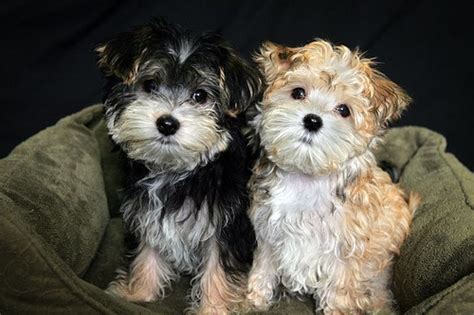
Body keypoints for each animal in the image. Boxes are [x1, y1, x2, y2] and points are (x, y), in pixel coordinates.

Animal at [96, 19, 262, 314]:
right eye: (150, 84)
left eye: (200, 95)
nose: (167, 123)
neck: (175, 172)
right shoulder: (146, 212)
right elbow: (146, 251)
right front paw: (137, 294)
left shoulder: (226, 222)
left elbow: (217, 267)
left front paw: (214, 308)